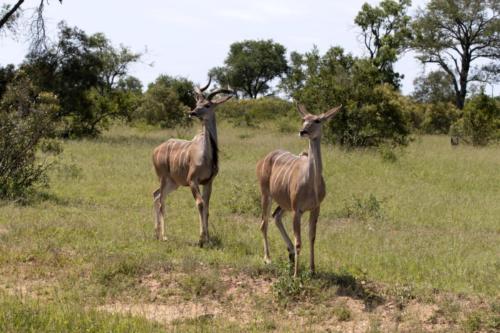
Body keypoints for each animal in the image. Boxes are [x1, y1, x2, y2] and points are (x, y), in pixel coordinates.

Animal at [151, 77, 233, 244]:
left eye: (207, 105)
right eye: (197, 103)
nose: (192, 112)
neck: (207, 155)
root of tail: (156, 150)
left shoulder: (208, 182)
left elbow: (207, 207)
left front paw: (208, 239)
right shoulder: (192, 180)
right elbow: (200, 204)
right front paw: (201, 238)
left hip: (174, 183)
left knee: (156, 195)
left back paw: (156, 233)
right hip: (163, 178)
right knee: (161, 201)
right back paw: (164, 236)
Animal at [256, 104, 342, 274]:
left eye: (317, 120)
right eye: (303, 119)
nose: (303, 131)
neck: (311, 185)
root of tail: (263, 160)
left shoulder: (315, 208)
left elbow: (312, 237)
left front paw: (312, 270)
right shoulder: (297, 210)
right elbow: (299, 241)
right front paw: (296, 274)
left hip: (284, 202)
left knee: (276, 216)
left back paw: (289, 253)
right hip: (266, 194)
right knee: (264, 222)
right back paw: (268, 258)